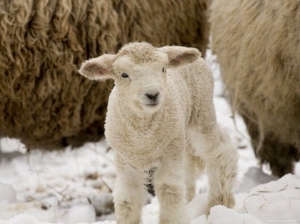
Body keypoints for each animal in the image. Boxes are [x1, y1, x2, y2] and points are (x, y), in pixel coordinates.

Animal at [78, 42, 238, 224]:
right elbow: (127, 199)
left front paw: (172, 219)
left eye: (163, 68)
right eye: (124, 74)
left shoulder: (169, 153)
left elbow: (168, 189)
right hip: (182, 133)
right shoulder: (125, 160)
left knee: (218, 153)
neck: (144, 137)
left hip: (201, 114)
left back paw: (218, 202)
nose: (153, 94)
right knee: (190, 163)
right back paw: (191, 201)